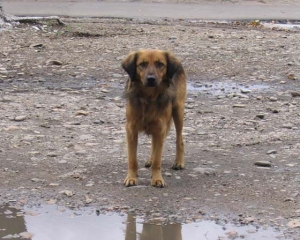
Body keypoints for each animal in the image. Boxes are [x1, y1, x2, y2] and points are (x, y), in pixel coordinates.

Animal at [121, 49, 186, 188]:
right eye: (142, 64)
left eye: (160, 64)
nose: (151, 79)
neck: (149, 98)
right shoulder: (131, 129)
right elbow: (132, 159)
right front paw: (131, 177)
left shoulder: (160, 128)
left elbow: (158, 159)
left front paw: (157, 179)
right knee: (154, 143)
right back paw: (150, 160)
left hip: (178, 110)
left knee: (179, 139)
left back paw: (179, 162)